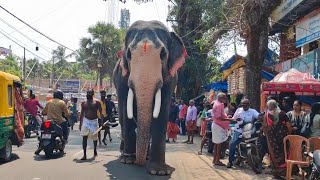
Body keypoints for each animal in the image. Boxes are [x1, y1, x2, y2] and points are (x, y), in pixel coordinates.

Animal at [113, 20, 186, 175]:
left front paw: (159, 171)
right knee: (122, 117)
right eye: (129, 54)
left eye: (163, 54)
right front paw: (128, 161)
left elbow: (162, 110)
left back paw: (144, 156)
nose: (137, 163)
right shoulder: (122, 77)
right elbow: (126, 109)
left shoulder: (171, 78)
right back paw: (125, 154)